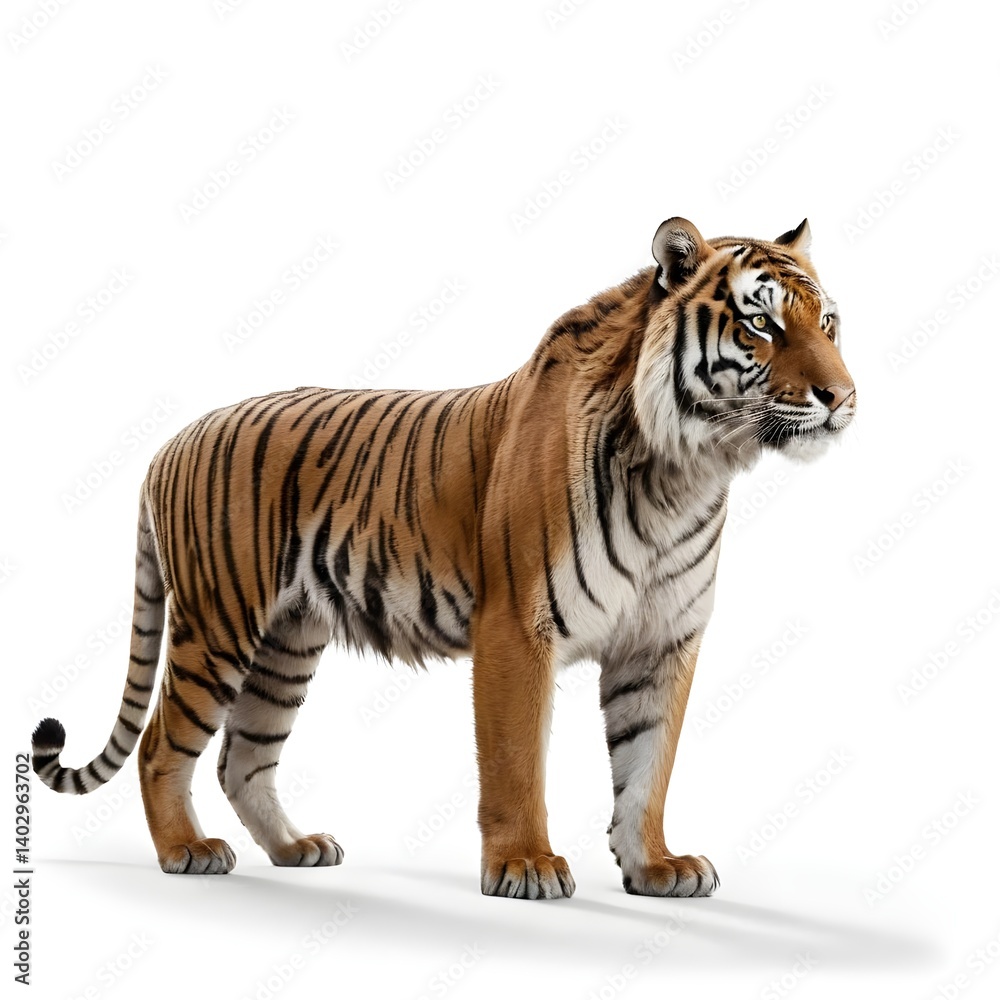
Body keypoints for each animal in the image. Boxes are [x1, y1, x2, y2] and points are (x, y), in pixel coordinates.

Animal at [32, 217, 855, 899]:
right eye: (762, 322)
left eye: (828, 322)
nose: (843, 397)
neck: (685, 472)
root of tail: (172, 441)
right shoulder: (518, 628)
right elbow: (516, 760)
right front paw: (526, 866)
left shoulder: (661, 642)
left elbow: (647, 767)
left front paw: (655, 867)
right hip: (218, 627)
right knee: (161, 744)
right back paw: (186, 851)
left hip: (286, 643)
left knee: (245, 756)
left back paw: (296, 848)